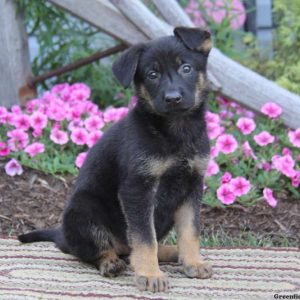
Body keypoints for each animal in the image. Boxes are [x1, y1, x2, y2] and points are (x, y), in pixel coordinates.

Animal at [18, 27, 213, 292]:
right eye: (152, 74)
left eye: (186, 68)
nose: (172, 98)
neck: (176, 131)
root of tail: (62, 235)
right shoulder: (137, 189)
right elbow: (145, 238)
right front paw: (150, 275)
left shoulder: (192, 185)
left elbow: (190, 231)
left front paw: (193, 261)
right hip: (83, 209)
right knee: (100, 250)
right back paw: (110, 262)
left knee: (131, 248)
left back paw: (174, 253)